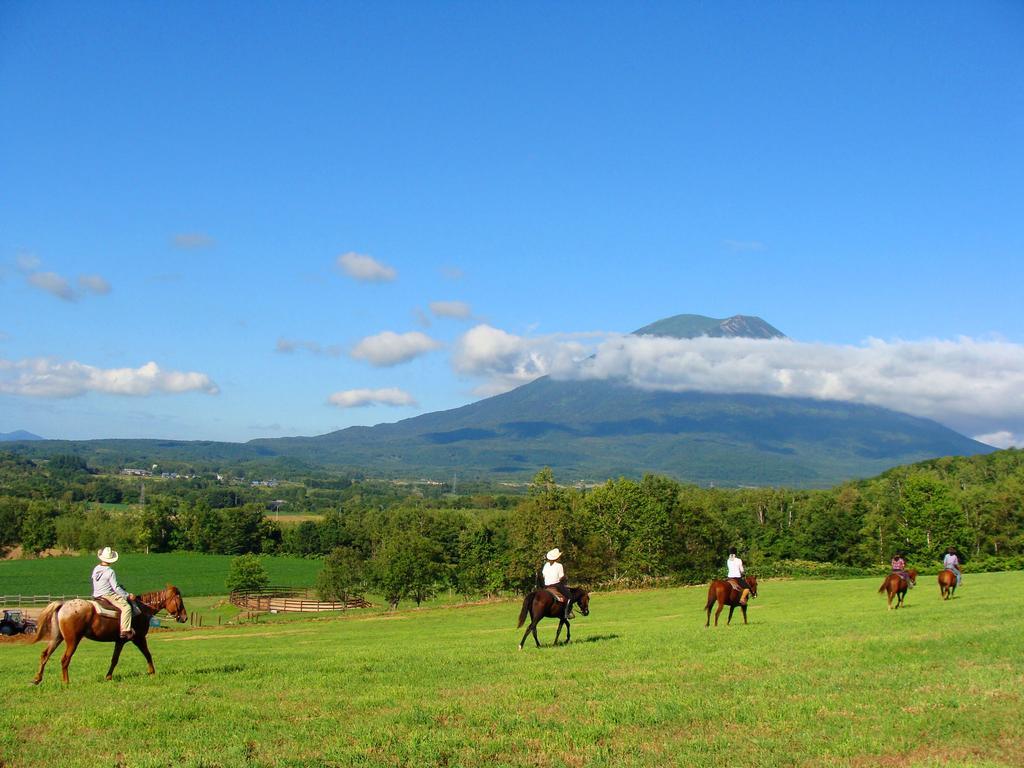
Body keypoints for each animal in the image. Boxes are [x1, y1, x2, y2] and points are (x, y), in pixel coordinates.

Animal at [30, 585, 188, 688]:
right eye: (179, 600)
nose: (185, 617)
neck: (142, 609)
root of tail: (63, 605)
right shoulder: (139, 638)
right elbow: (148, 654)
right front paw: (152, 672)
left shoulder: (120, 641)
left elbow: (114, 659)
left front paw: (108, 677)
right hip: (72, 640)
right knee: (65, 659)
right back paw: (66, 682)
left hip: (57, 638)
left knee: (45, 655)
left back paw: (37, 679)